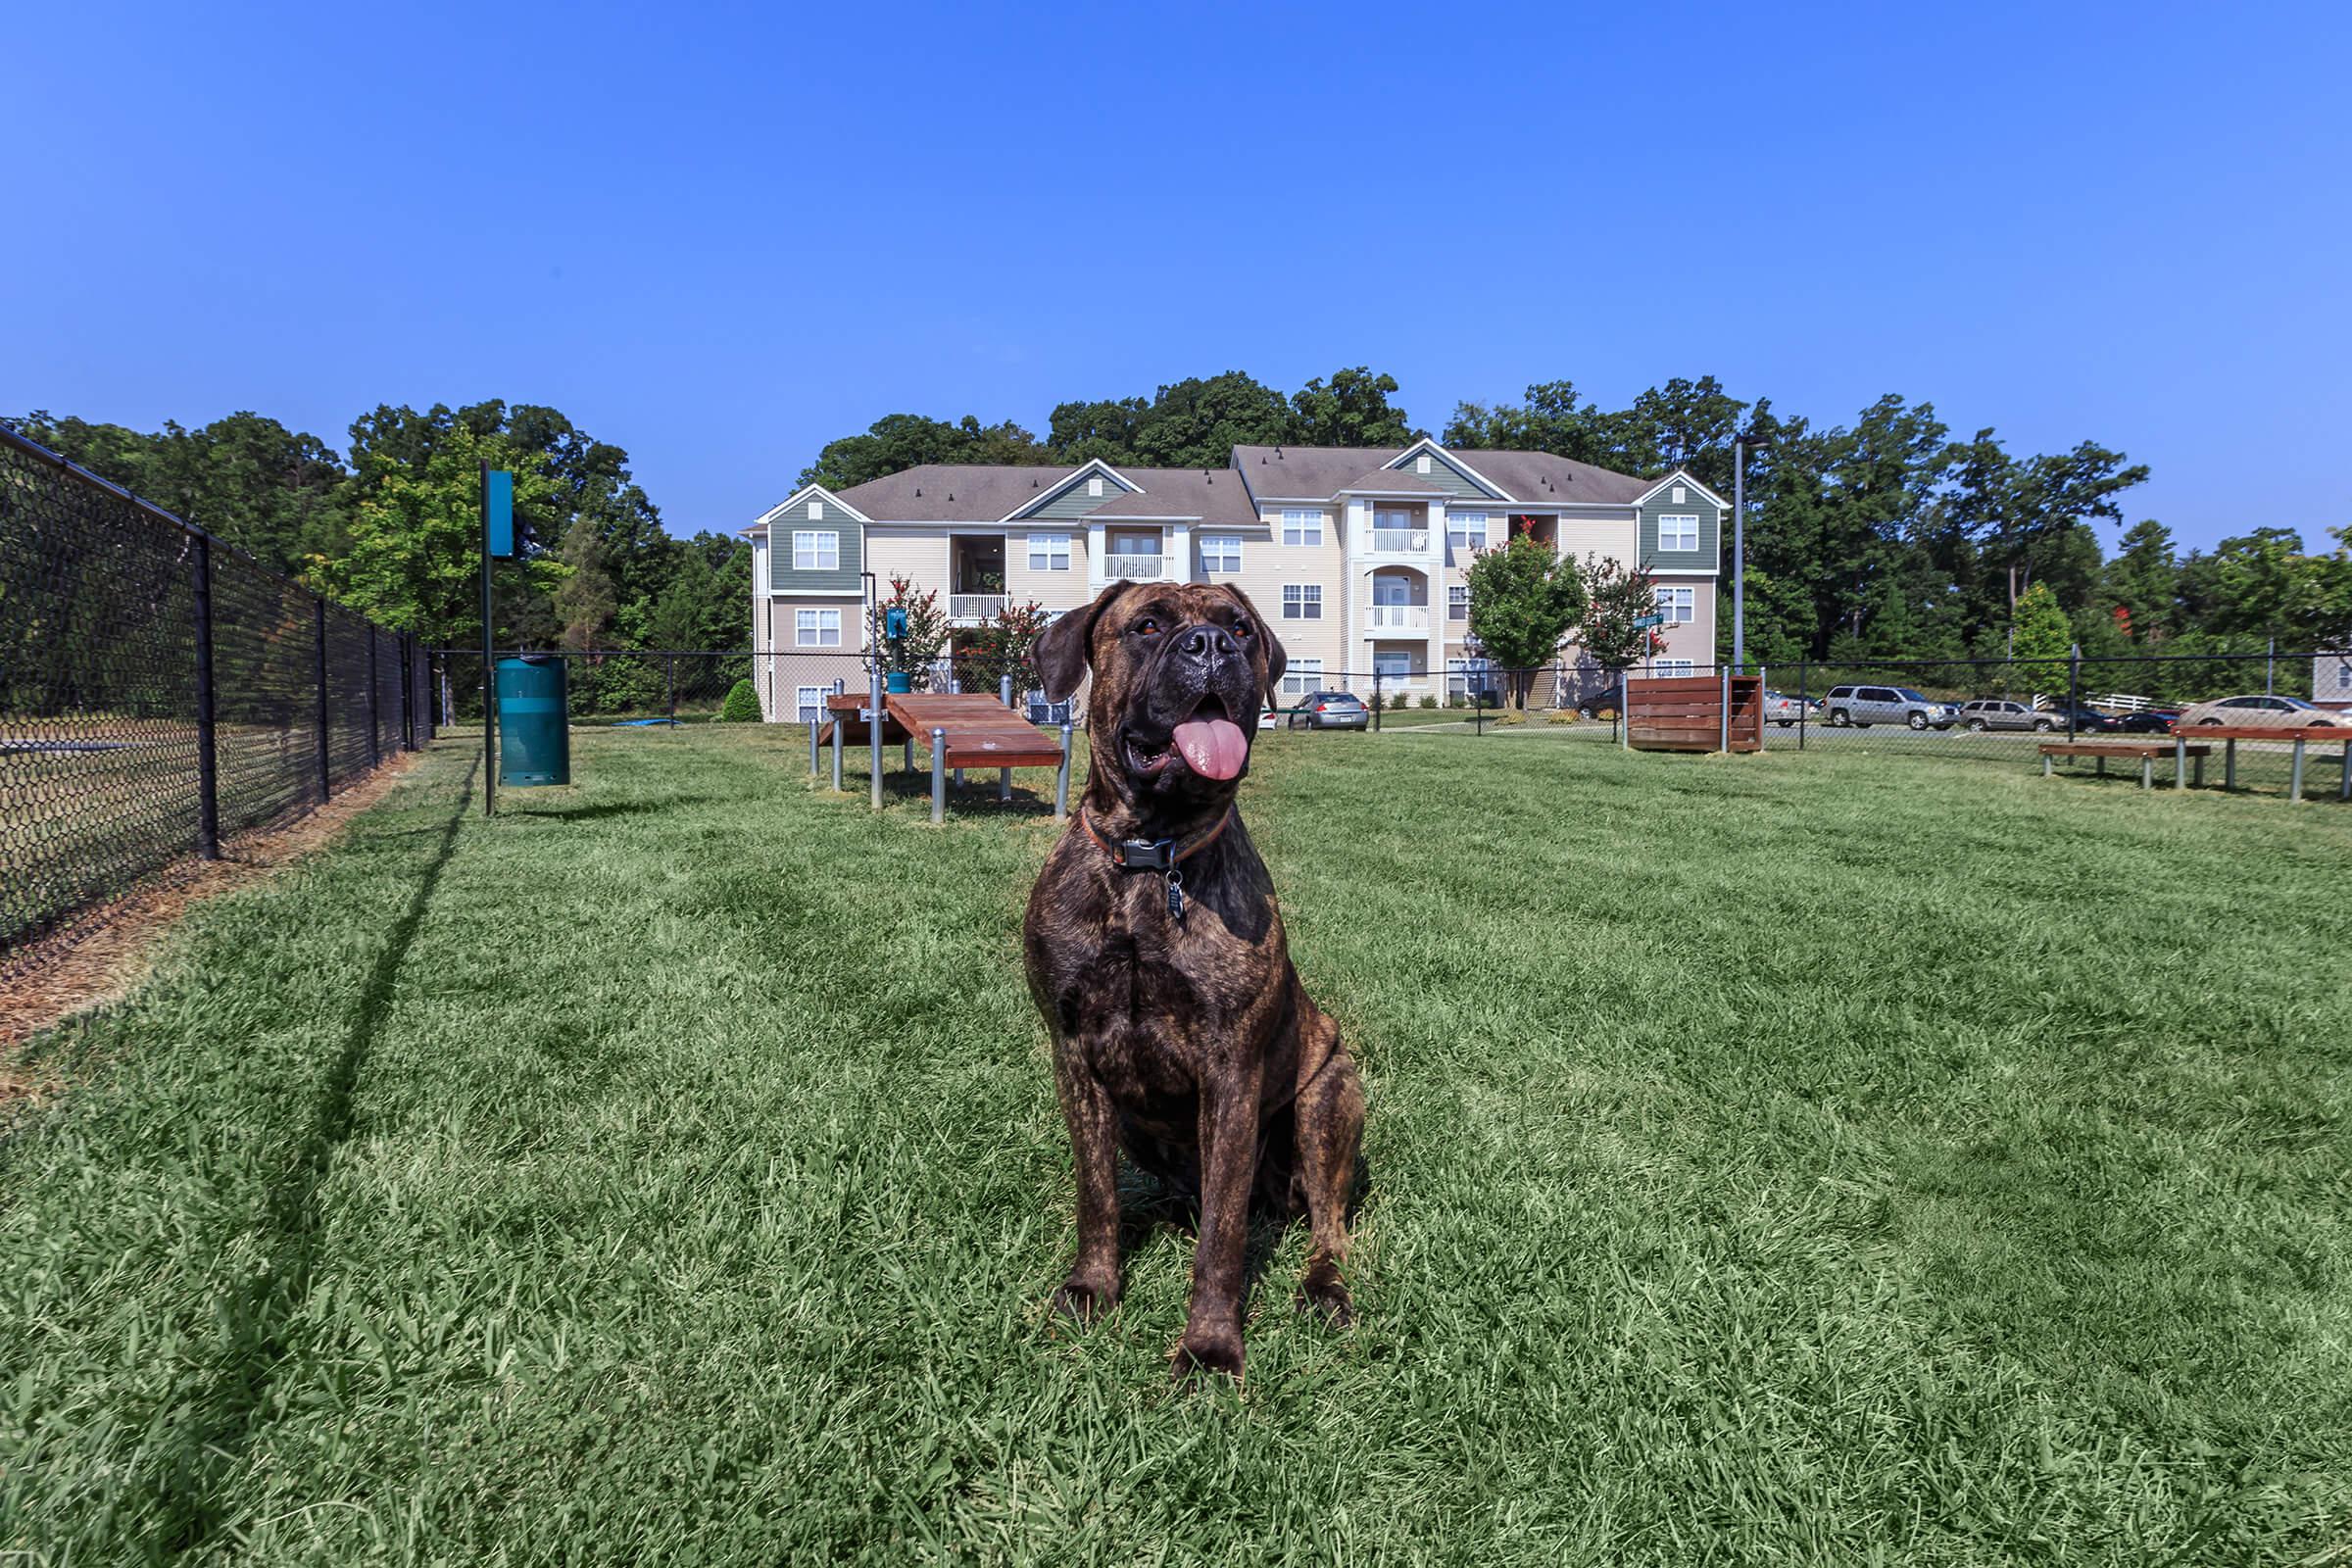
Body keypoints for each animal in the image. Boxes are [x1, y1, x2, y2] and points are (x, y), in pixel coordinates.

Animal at [1020, 580, 1373, 1382]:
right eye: (1147, 627)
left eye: (1239, 629)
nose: (1209, 646)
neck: (1152, 861)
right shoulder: (1075, 1055)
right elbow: (1096, 1197)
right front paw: (1092, 1286)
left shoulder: (1232, 1069)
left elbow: (1221, 1237)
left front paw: (1210, 1347)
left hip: (1330, 1096)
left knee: (1326, 1226)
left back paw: (1323, 1287)